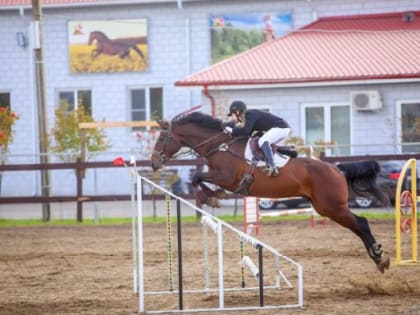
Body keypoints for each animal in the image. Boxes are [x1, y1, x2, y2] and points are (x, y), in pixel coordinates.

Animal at [151, 112, 390, 272]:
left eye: (161, 139)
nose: (154, 163)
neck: (219, 146)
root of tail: (337, 169)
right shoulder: (223, 179)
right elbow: (200, 180)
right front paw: (216, 197)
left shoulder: (227, 178)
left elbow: (197, 179)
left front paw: (210, 198)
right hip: (327, 207)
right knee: (359, 225)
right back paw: (378, 258)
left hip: (331, 207)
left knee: (361, 223)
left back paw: (379, 257)